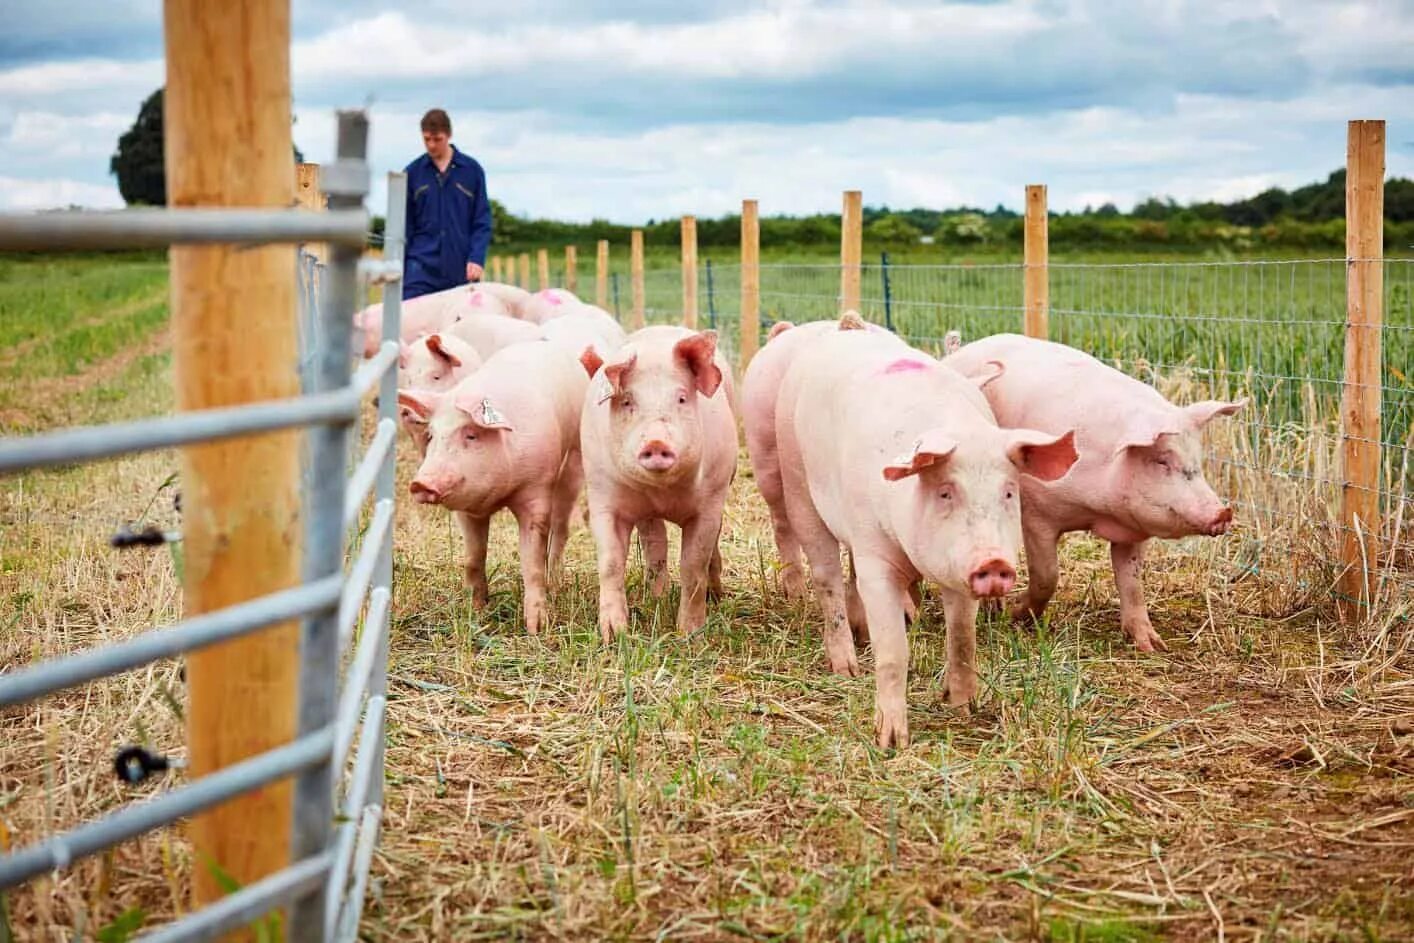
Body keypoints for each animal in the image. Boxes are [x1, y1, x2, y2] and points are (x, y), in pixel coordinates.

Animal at [399, 340, 589, 634]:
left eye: (471, 435)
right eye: (431, 436)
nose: (421, 483)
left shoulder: (537, 490)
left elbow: (532, 562)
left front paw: (536, 628)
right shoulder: (467, 510)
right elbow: (473, 557)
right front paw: (476, 610)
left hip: (573, 460)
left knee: (560, 527)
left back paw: (555, 583)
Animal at [579, 326, 738, 641]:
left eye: (681, 398)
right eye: (627, 401)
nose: (655, 442)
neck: (660, 492)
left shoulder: (710, 501)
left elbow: (693, 565)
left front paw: (689, 634)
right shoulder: (602, 496)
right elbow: (611, 562)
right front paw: (614, 634)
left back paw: (716, 596)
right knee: (656, 543)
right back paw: (656, 597)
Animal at [775, 324, 1078, 747]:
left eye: (1008, 492)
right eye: (945, 492)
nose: (993, 562)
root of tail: (845, 328)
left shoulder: (958, 571)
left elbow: (963, 638)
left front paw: (962, 709)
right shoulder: (876, 558)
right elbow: (893, 651)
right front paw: (890, 741)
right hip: (797, 484)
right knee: (826, 576)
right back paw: (846, 668)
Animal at [943, 334, 1245, 652]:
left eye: (1197, 461)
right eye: (1163, 461)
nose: (1223, 512)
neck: (1098, 512)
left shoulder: (1132, 531)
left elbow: (1132, 582)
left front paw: (1152, 646)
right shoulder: (1037, 512)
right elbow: (1047, 575)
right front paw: (1018, 617)